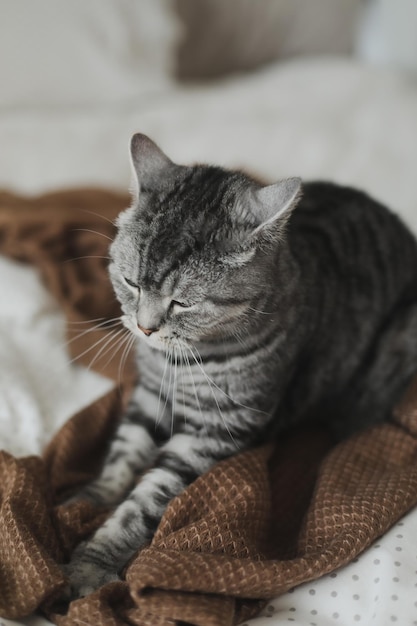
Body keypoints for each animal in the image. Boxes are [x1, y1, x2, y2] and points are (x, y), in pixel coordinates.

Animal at [62, 133, 417, 596]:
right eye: (130, 283)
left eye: (182, 302)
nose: (144, 328)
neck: (179, 361)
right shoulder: (149, 398)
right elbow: (121, 456)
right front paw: (88, 498)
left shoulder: (213, 432)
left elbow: (144, 501)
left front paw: (94, 560)